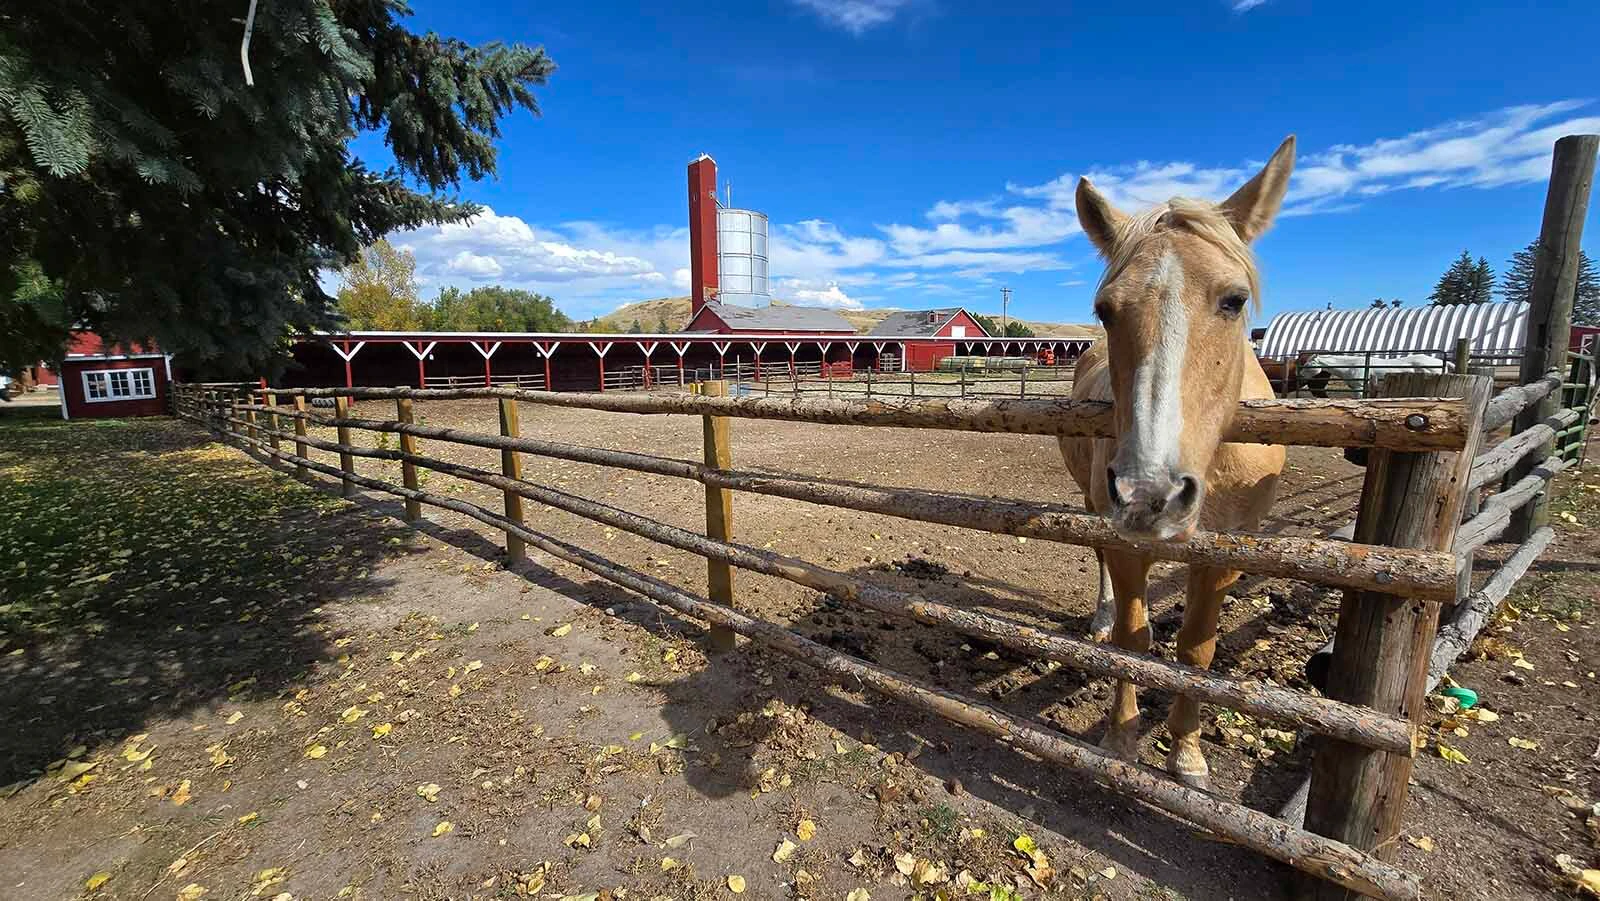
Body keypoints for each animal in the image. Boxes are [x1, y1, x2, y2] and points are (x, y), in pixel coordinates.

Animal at [1060, 136, 1295, 789]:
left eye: (1234, 300)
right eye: (1105, 309)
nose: (1149, 493)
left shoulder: (1226, 552)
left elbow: (1196, 653)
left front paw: (1187, 754)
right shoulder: (1125, 540)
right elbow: (1134, 639)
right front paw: (1121, 736)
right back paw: (1097, 616)